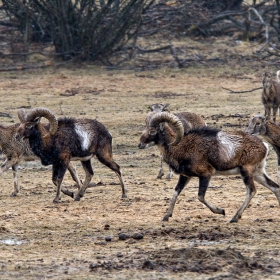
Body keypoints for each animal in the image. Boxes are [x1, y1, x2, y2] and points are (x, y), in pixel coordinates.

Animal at [138, 111, 280, 223]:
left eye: (152, 131)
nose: (140, 144)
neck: (181, 146)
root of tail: (264, 146)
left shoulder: (206, 175)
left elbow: (200, 196)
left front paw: (221, 211)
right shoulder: (185, 177)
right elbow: (175, 193)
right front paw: (166, 216)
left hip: (247, 171)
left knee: (251, 191)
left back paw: (234, 218)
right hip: (257, 173)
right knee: (275, 187)